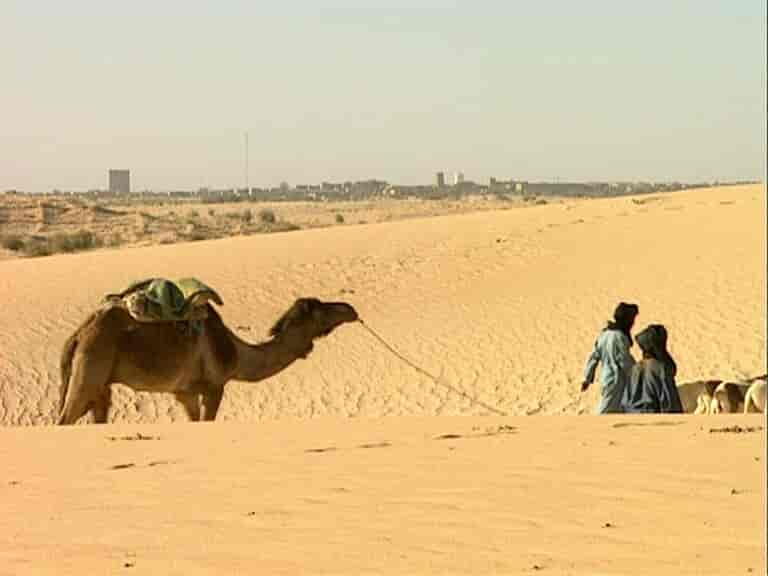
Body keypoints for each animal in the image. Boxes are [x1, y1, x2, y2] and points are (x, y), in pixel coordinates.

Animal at [57, 296, 356, 424]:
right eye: (320, 308)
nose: (350, 309)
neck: (236, 353)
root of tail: (78, 335)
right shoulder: (215, 387)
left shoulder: (185, 392)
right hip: (91, 367)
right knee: (64, 418)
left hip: (100, 383)